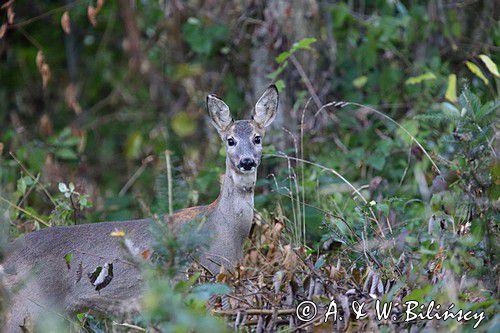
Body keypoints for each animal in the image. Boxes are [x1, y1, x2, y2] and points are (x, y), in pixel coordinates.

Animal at [0, 86, 278, 332]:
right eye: (230, 140)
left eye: (257, 138)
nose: (246, 161)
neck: (225, 232)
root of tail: (7, 257)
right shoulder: (200, 281)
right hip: (30, 306)